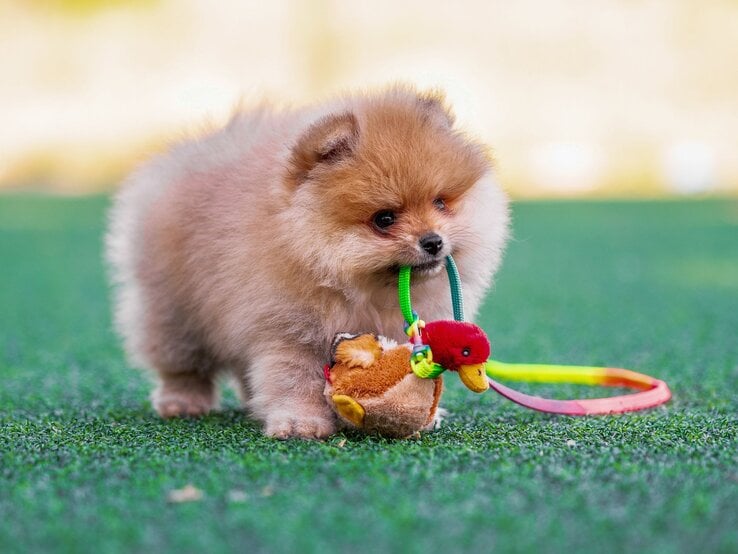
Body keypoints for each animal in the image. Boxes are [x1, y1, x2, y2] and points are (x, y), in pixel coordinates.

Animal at [106, 85, 506, 436]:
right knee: (181, 362)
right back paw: (182, 401)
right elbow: (294, 380)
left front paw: (423, 414)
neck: (363, 291)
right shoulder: (288, 330)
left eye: (440, 203)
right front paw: (300, 423)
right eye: (384, 219)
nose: (433, 241)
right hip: (173, 312)